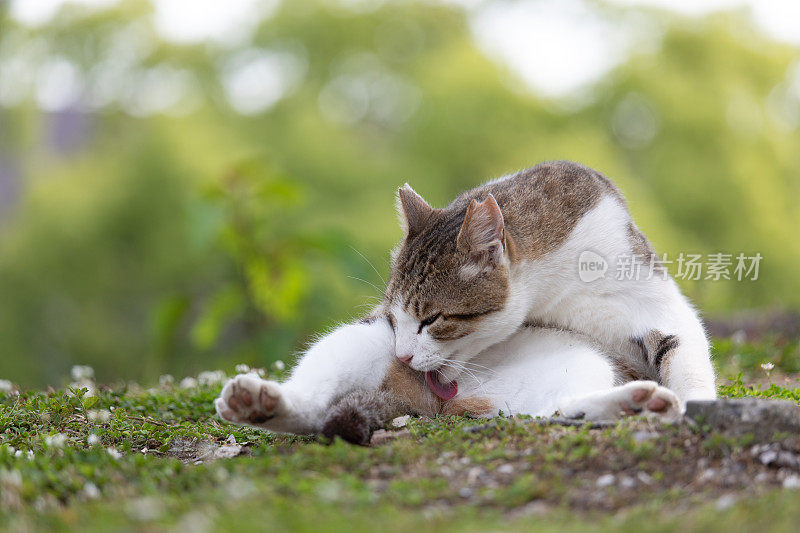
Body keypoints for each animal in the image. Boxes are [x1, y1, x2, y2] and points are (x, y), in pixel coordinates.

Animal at [216, 160, 716, 442]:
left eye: (433, 318)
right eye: (396, 318)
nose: (404, 355)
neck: (554, 291)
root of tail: (439, 405)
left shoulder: (655, 303)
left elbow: (688, 360)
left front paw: (697, 403)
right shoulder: (377, 325)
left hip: (575, 365)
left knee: (557, 409)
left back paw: (636, 403)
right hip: (355, 343)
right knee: (314, 408)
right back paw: (260, 404)